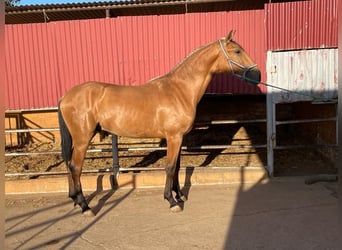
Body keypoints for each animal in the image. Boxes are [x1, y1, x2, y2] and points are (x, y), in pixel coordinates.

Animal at [58, 30, 262, 216]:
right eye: (237, 51)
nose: (258, 75)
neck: (180, 89)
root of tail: (65, 97)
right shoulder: (173, 138)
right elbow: (170, 167)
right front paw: (172, 201)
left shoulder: (179, 138)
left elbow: (177, 167)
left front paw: (179, 195)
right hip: (83, 139)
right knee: (75, 167)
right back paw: (85, 207)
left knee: (70, 165)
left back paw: (75, 200)